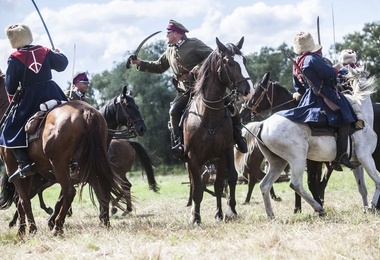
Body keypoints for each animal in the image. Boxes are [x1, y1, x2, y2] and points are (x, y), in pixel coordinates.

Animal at [0, 71, 129, 236]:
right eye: (128, 105)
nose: (142, 128)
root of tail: (86, 112)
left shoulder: (13, 169)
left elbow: (25, 200)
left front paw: (27, 230)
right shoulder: (24, 173)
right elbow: (24, 200)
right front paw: (27, 228)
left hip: (58, 166)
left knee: (69, 192)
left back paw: (57, 227)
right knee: (102, 191)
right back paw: (104, 224)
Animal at [183, 36, 254, 223]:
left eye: (244, 60)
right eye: (229, 63)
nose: (249, 91)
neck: (209, 114)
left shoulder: (225, 152)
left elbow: (228, 180)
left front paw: (228, 211)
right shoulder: (193, 157)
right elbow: (198, 187)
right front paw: (196, 218)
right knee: (195, 183)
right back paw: (193, 212)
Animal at [245, 66, 378, 217]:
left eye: (258, 91)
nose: (244, 111)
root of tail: (263, 124)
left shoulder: (357, 163)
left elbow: (362, 187)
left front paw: (367, 207)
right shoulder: (366, 157)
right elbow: (378, 181)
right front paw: (372, 205)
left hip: (278, 162)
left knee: (265, 185)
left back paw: (271, 214)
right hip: (298, 158)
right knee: (295, 184)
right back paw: (319, 208)